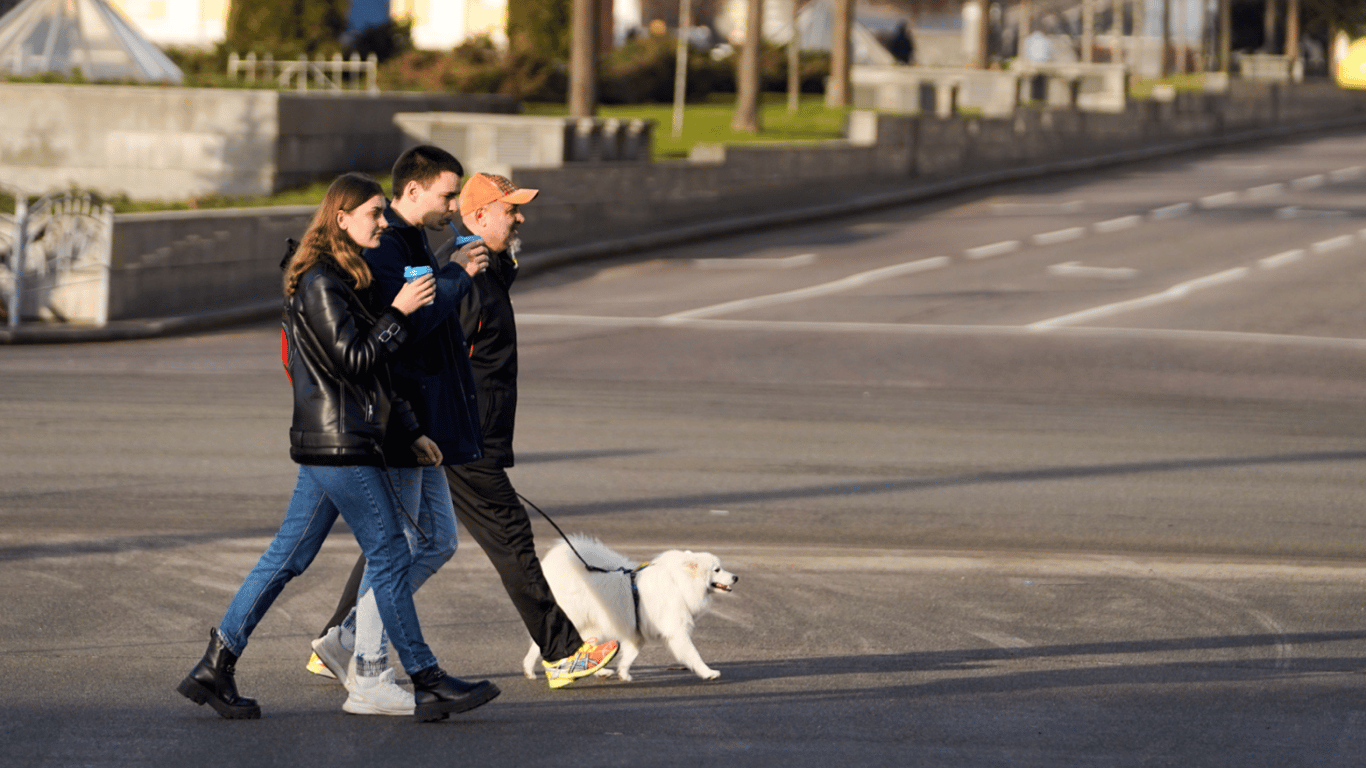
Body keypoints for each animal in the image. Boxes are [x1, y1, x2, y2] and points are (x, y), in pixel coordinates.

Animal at [521, 535, 737, 677]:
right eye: (717, 570)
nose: (736, 577)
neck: (678, 582)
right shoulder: (676, 630)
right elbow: (693, 654)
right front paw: (708, 672)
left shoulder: (637, 632)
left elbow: (630, 655)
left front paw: (623, 674)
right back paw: (530, 670)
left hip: (593, 627)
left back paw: (600, 671)